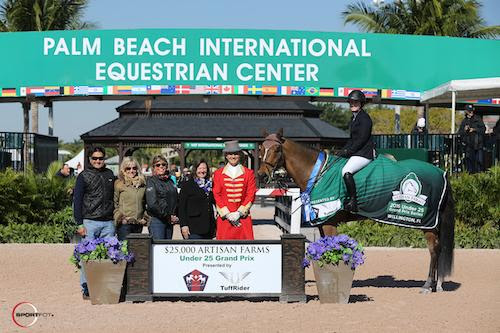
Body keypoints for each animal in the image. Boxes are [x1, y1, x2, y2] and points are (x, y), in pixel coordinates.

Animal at [260, 128, 456, 292]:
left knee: (434, 249)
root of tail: (442, 173)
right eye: (262, 148)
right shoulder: (323, 222)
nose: (262, 175)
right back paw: (437, 284)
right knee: (438, 248)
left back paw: (428, 285)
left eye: (277, 149)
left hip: (428, 223)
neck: (319, 173)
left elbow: (332, 249)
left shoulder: (330, 223)